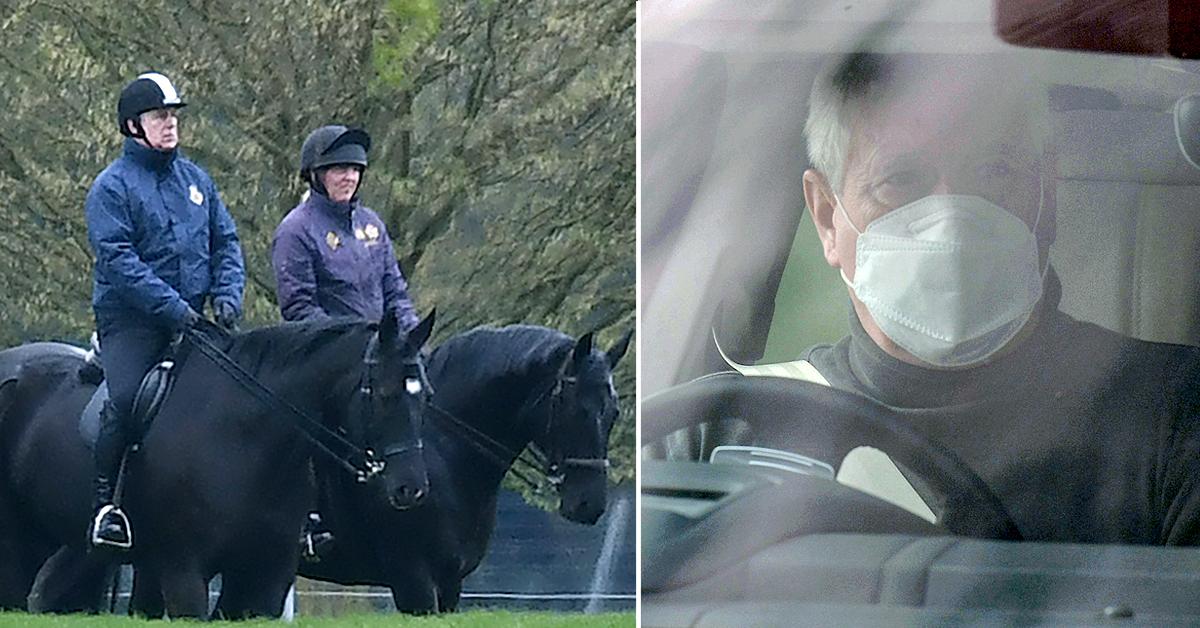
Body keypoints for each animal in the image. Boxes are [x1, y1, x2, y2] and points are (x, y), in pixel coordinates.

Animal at [0, 312, 436, 614]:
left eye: (425, 394)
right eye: (382, 393)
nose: (411, 488)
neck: (246, 441)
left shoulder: (265, 578)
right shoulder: (184, 574)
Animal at [295, 324, 633, 614]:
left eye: (614, 412)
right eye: (575, 409)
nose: (589, 505)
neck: (442, 455)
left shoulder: (450, 579)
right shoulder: (411, 579)